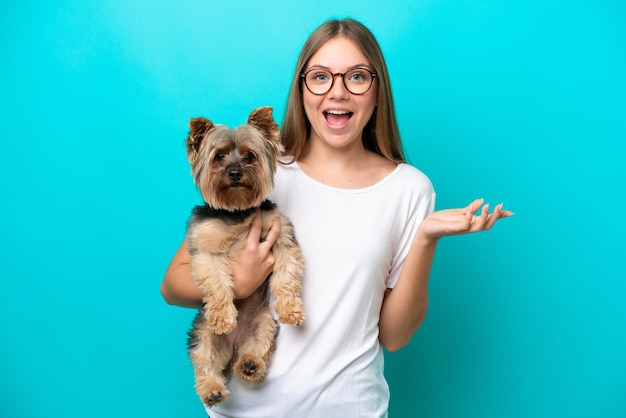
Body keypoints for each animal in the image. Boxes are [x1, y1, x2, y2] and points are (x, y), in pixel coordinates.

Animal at [183, 106, 304, 406]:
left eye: (249, 156)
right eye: (219, 156)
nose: (236, 172)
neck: (237, 210)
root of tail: (233, 350)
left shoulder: (281, 236)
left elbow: (287, 274)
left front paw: (291, 309)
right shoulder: (205, 248)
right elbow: (216, 282)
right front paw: (223, 317)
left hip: (264, 323)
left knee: (256, 347)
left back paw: (250, 365)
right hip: (202, 331)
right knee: (204, 360)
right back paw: (212, 389)